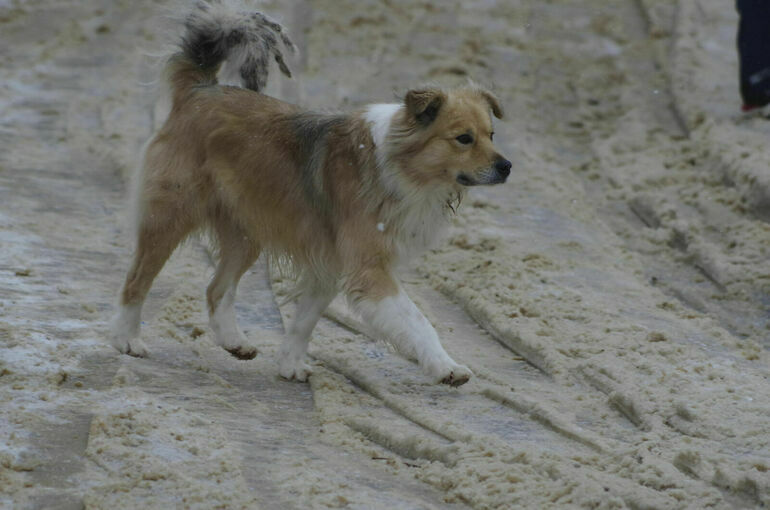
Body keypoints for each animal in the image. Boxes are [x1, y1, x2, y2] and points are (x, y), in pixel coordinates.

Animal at [108, 0, 510, 386]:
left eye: (491, 134)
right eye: (463, 139)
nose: (507, 167)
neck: (397, 165)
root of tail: (199, 89)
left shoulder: (329, 263)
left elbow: (304, 322)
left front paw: (289, 364)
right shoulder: (369, 268)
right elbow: (418, 321)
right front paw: (446, 367)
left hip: (245, 231)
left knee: (216, 289)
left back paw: (233, 341)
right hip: (170, 216)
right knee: (136, 280)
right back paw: (127, 339)